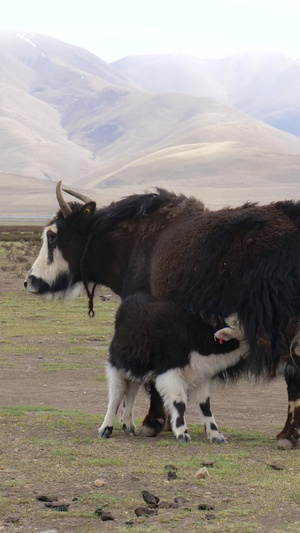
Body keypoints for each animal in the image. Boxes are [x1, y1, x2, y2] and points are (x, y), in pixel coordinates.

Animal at [99, 294, 248, 442]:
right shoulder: (169, 373)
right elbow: (179, 401)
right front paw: (182, 434)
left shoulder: (201, 376)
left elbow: (205, 405)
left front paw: (216, 434)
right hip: (118, 365)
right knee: (116, 393)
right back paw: (106, 429)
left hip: (137, 369)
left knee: (131, 392)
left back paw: (128, 426)